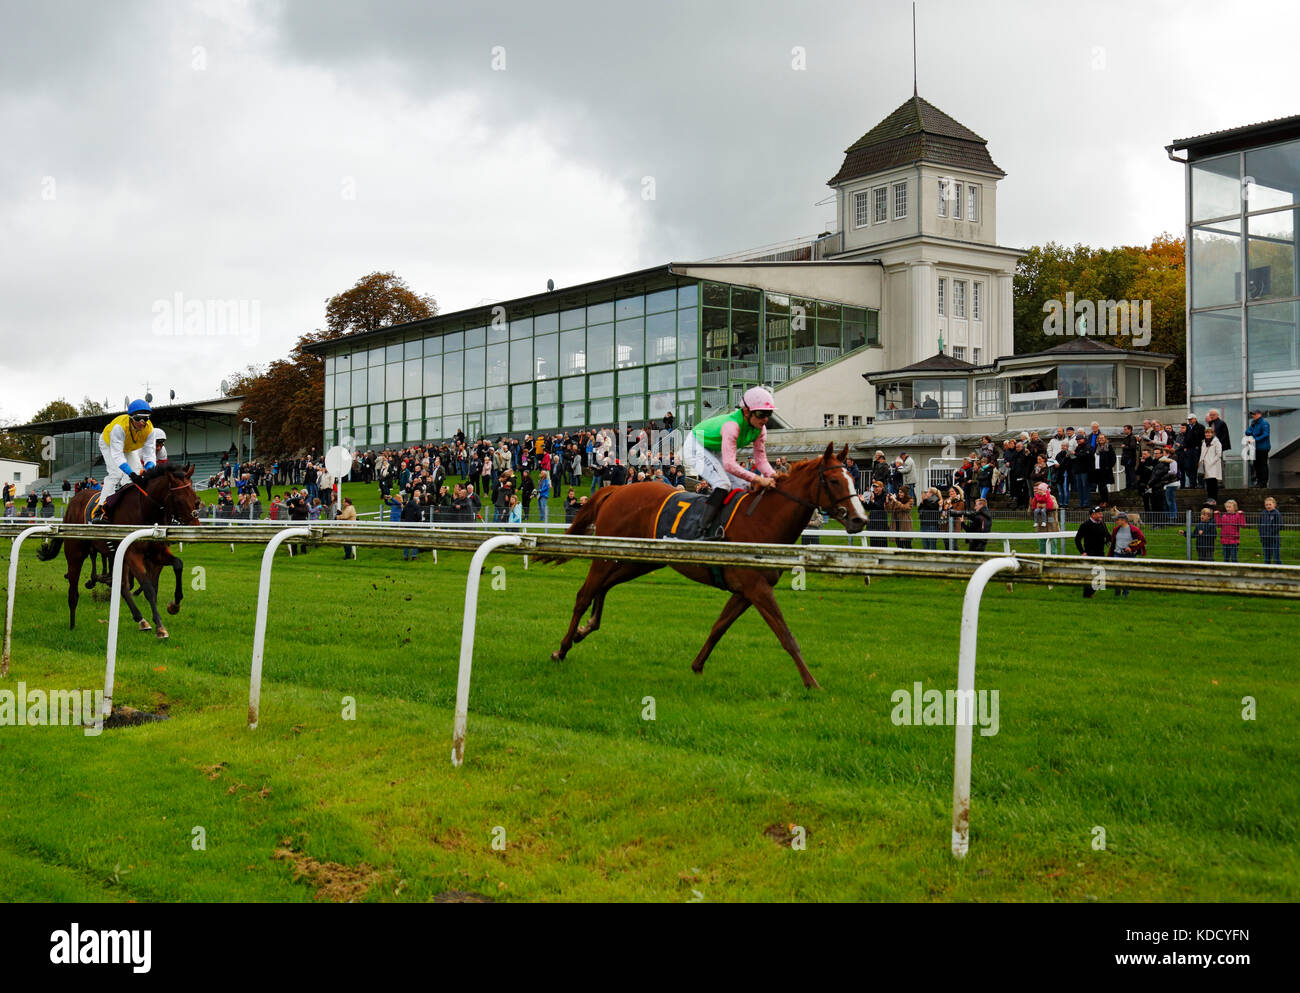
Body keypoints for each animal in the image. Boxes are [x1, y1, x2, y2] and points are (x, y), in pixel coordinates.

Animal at [35, 462, 201, 636]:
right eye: (179, 499)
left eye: (196, 500)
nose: (196, 526)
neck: (144, 510)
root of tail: (73, 501)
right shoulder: (132, 554)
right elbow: (148, 587)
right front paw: (160, 627)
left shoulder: (156, 553)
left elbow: (178, 564)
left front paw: (174, 605)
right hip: (76, 553)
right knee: (74, 588)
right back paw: (72, 624)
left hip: (115, 555)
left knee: (122, 586)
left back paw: (141, 620)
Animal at [543, 444, 868, 686]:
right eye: (835, 481)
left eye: (853, 479)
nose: (860, 519)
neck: (763, 519)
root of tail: (617, 490)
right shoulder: (758, 589)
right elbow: (786, 636)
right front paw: (812, 683)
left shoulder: (746, 591)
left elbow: (719, 627)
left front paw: (697, 665)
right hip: (611, 555)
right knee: (584, 594)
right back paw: (563, 647)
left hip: (637, 560)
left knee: (604, 586)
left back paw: (585, 629)